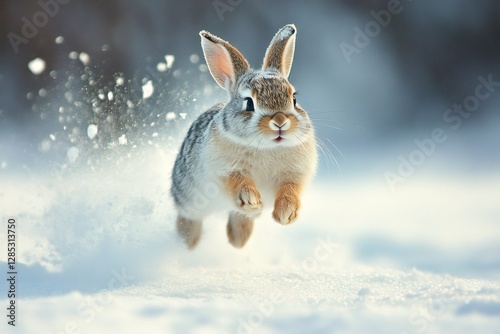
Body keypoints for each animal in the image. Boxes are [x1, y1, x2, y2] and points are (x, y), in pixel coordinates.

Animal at [171, 24, 316, 248]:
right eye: (249, 103)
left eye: (293, 99)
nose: (280, 121)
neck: (267, 147)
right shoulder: (225, 171)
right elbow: (239, 183)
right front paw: (252, 201)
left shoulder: (294, 175)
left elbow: (289, 191)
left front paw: (285, 214)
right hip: (188, 197)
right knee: (189, 219)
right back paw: (188, 244)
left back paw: (237, 241)